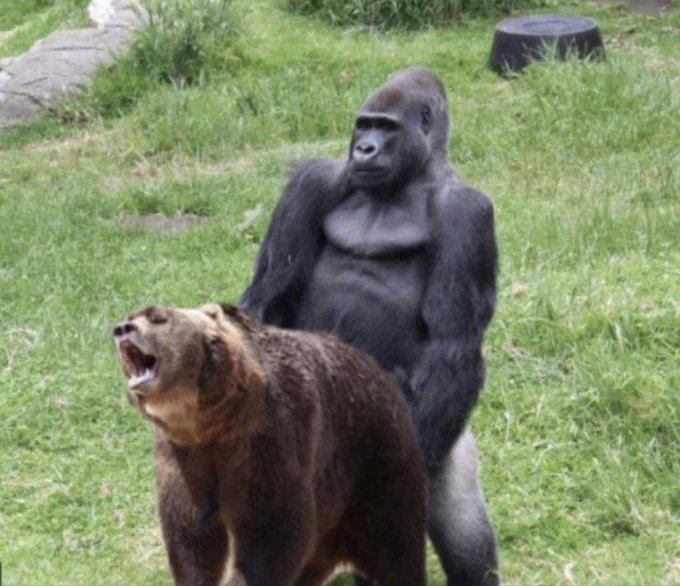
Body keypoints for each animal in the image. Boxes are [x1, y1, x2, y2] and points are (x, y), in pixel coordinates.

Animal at [111, 303, 426, 586]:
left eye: (158, 317)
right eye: (131, 315)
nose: (122, 328)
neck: (214, 423)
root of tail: (381, 372)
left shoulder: (266, 440)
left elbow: (272, 529)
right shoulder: (183, 455)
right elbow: (191, 530)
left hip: (372, 457)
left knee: (394, 540)